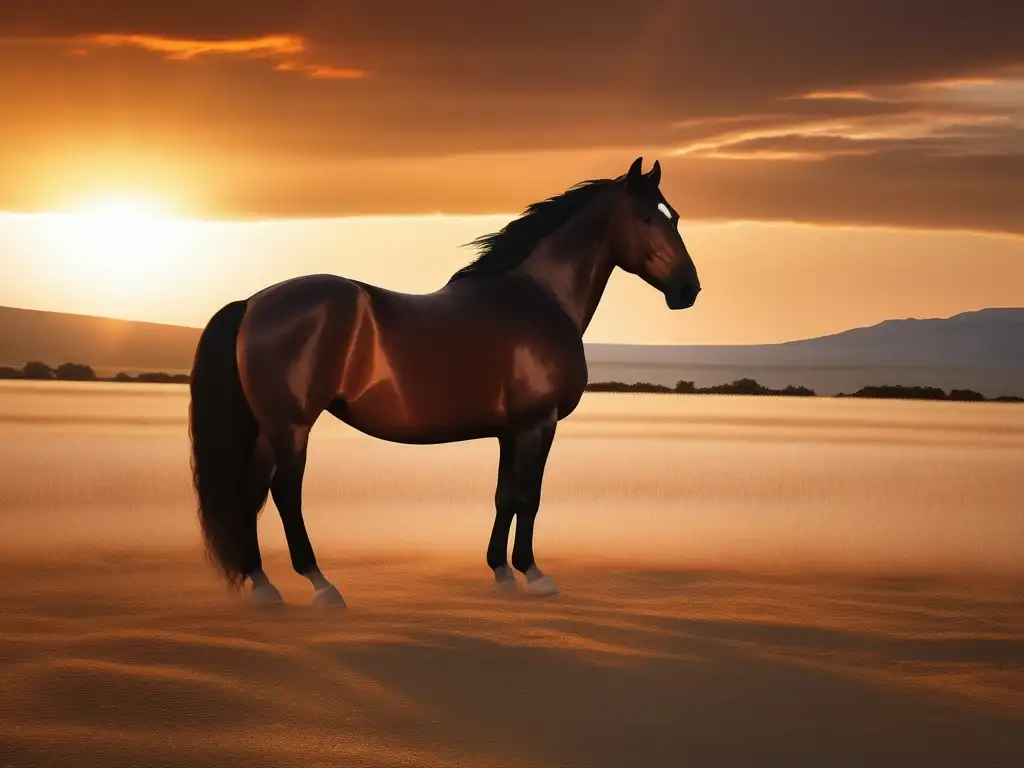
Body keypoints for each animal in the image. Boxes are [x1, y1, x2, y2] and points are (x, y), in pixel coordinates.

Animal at [190, 159, 704, 610]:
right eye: (644, 217)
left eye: (674, 216)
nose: (688, 289)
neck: (537, 301)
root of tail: (253, 302)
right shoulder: (540, 424)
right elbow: (530, 497)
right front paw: (534, 574)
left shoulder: (510, 431)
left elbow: (504, 496)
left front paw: (501, 572)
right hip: (292, 426)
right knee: (284, 493)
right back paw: (321, 585)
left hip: (268, 428)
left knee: (250, 489)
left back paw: (263, 585)